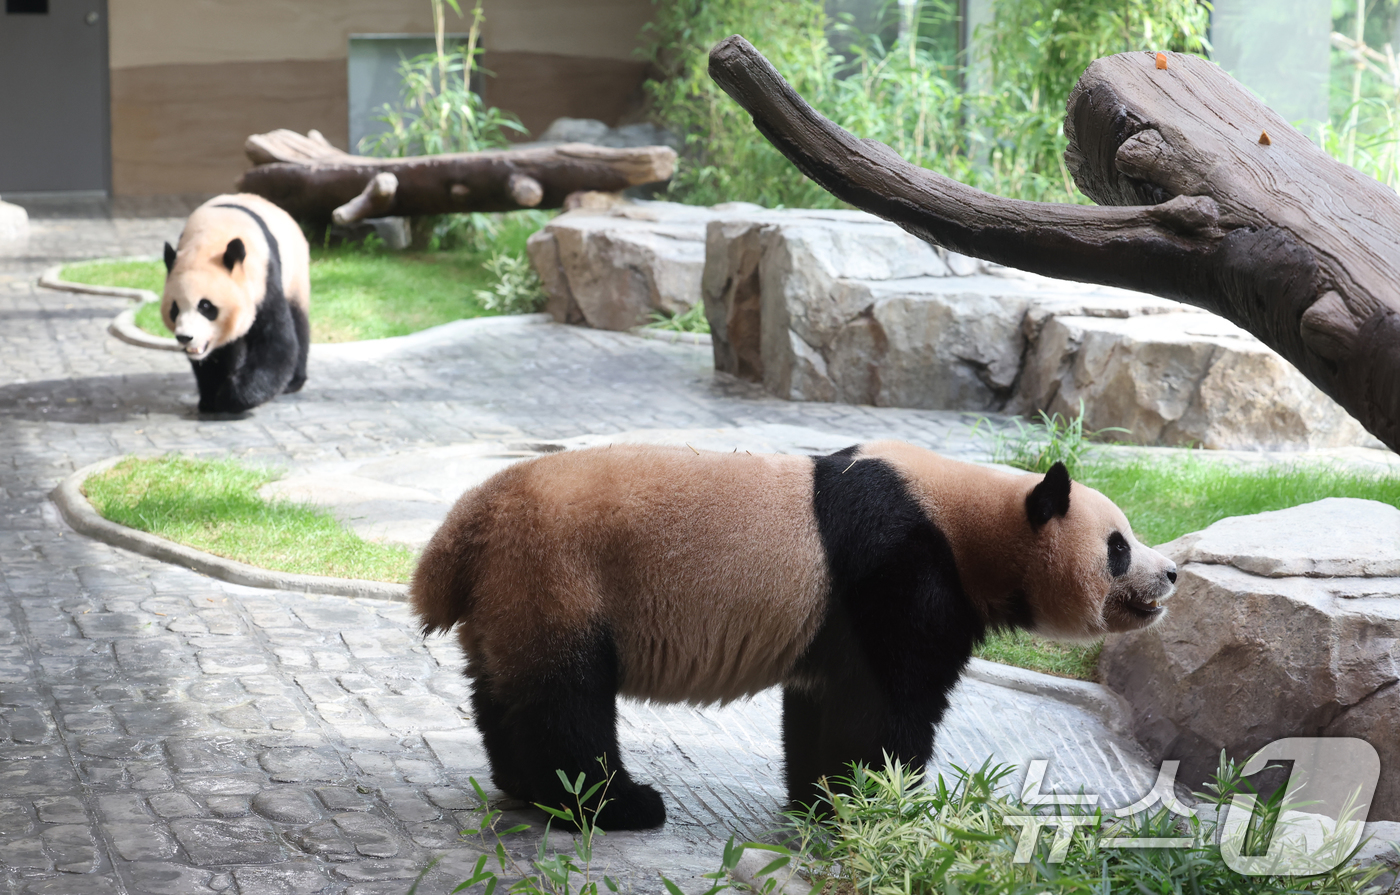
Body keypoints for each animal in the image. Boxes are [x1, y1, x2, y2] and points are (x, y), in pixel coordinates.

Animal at [161, 193, 311, 415]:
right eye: (175, 309)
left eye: (205, 306)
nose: (185, 337)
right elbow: (211, 358)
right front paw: (210, 399)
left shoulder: (265, 280)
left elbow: (276, 343)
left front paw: (232, 396)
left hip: (295, 273)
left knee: (298, 320)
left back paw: (294, 381)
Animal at [411, 440, 1177, 830]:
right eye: (1118, 547)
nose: (1169, 573)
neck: (971, 514)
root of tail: (462, 531)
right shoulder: (898, 563)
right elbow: (891, 700)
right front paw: (882, 802)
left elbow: (825, 700)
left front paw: (823, 797)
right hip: (560, 573)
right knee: (565, 702)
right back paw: (611, 804)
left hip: (512, 597)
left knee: (504, 688)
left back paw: (525, 786)